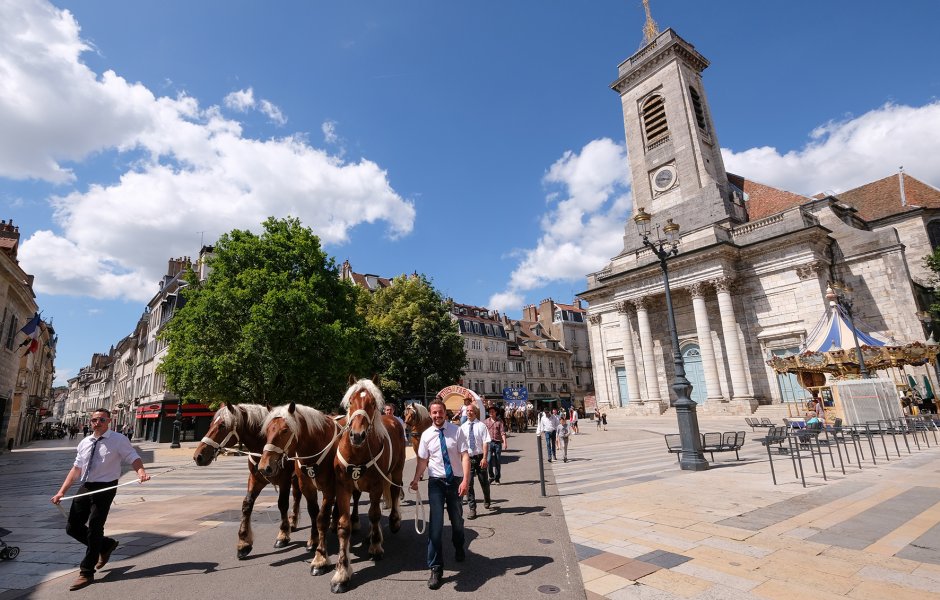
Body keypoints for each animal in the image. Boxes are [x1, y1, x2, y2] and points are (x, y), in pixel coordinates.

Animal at [194, 404, 302, 556]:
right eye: (210, 424)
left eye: (222, 425)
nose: (198, 456)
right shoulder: (255, 479)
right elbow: (247, 505)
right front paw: (243, 542)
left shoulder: (284, 480)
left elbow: (282, 504)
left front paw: (283, 535)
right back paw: (293, 521)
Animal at [258, 400, 346, 568]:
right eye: (267, 431)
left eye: (285, 430)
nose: (264, 467)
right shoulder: (307, 488)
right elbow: (313, 513)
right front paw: (313, 540)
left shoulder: (329, 489)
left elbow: (322, 518)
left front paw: (320, 559)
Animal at [328, 378, 406, 592]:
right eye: (350, 402)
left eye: (372, 403)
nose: (357, 435)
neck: (357, 452)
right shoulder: (343, 488)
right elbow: (344, 526)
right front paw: (342, 573)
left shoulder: (377, 485)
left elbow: (374, 514)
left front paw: (376, 546)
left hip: (397, 470)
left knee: (394, 491)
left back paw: (393, 521)